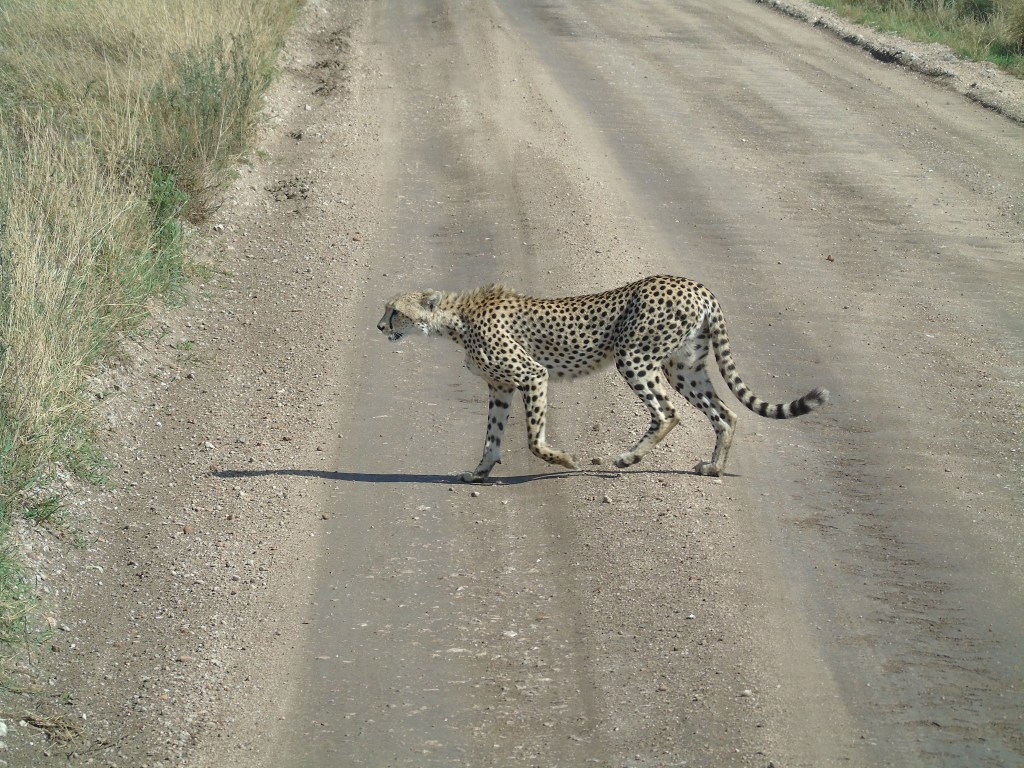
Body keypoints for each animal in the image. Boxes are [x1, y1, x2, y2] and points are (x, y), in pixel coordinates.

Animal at [377, 274, 829, 482]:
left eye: (395, 311)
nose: (379, 327)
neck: (456, 320)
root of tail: (697, 285)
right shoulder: (501, 387)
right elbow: (492, 438)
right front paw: (479, 473)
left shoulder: (531, 374)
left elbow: (534, 439)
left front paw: (564, 460)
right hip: (683, 366)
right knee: (725, 414)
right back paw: (713, 467)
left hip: (634, 357)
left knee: (667, 413)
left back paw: (627, 458)